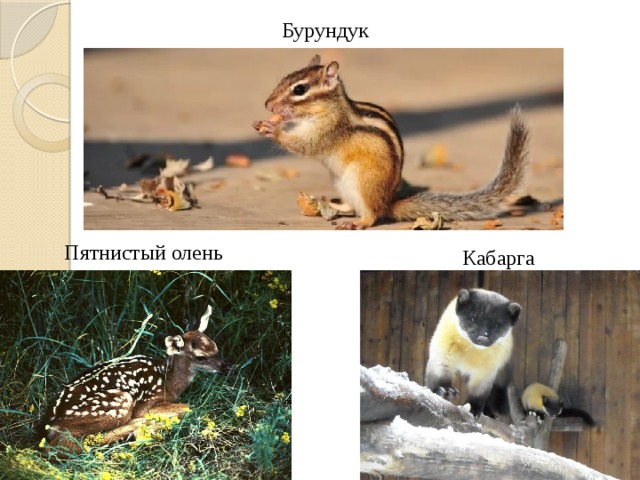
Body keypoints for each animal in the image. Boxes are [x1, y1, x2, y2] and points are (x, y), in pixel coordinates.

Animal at [38, 305, 231, 453]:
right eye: (200, 357)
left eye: (216, 346)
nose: (227, 367)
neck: (169, 381)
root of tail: (49, 424)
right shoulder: (147, 401)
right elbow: (187, 407)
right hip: (119, 403)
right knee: (67, 445)